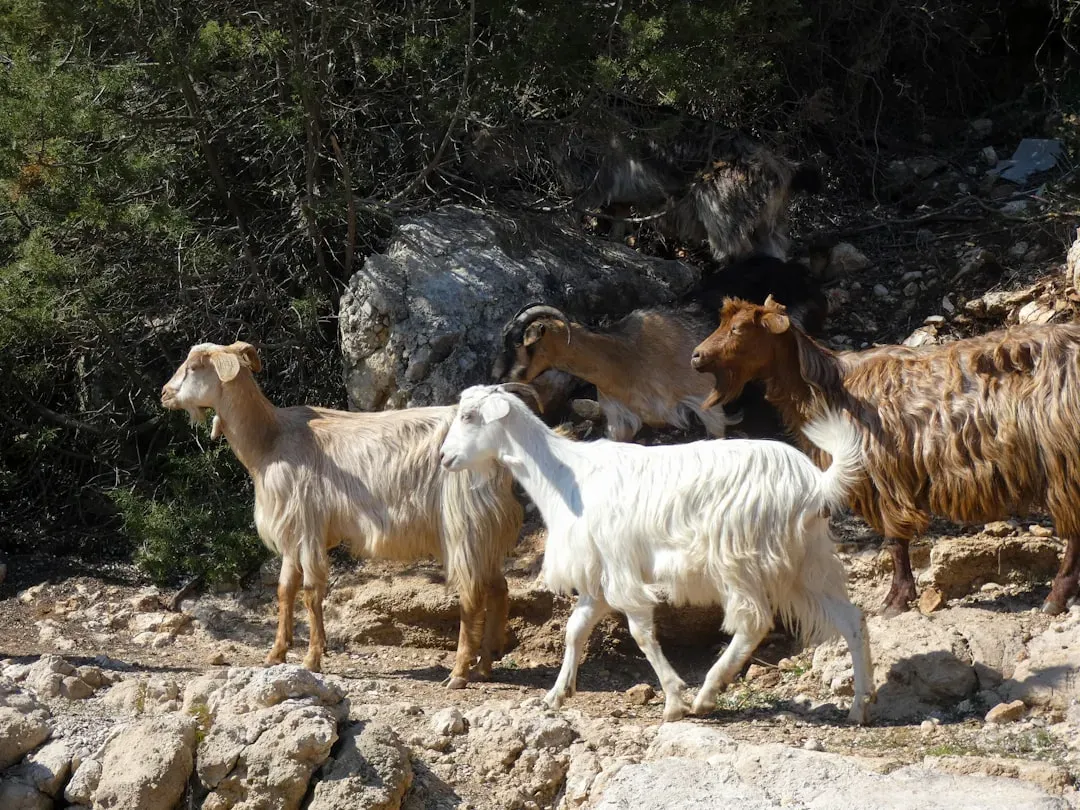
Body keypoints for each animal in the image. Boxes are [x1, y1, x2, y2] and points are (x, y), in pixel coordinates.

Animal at [161, 341, 523, 684]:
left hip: (463, 523)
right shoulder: (292, 531)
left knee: (472, 594)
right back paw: (485, 665)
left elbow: (310, 592)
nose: (164, 393)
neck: (269, 440)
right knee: (498, 588)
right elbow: (284, 589)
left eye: (194, 367)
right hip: (483, 529)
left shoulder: (308, 524)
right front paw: (276, 654)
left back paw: (460, 672)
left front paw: (311, 659)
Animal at [438, 383, 874, 724]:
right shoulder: (599, 575)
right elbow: (575, 630)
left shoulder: (620, 568)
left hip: (740, 557)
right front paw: (557, 695)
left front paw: (674, 698)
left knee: (754, 623)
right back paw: (860, 705)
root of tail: (814, 483)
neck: (567, 476)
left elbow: (641, 633)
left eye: (470, 416)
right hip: (808, 561)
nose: (444, 458)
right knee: (851, 618)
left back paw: (706, 694)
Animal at [491, 255, 826, 441]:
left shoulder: (705, 403)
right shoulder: (620, 420)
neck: (628, 358)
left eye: (519, 342)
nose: (498, 377)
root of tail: (795, 272)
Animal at [691, 297, 1080, 616]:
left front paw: (895, 601)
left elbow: (894, 540)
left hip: (1062, 458)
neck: (833, 390)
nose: (696, 356)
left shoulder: (884, 474)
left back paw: (1054, 599)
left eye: (739, 328)